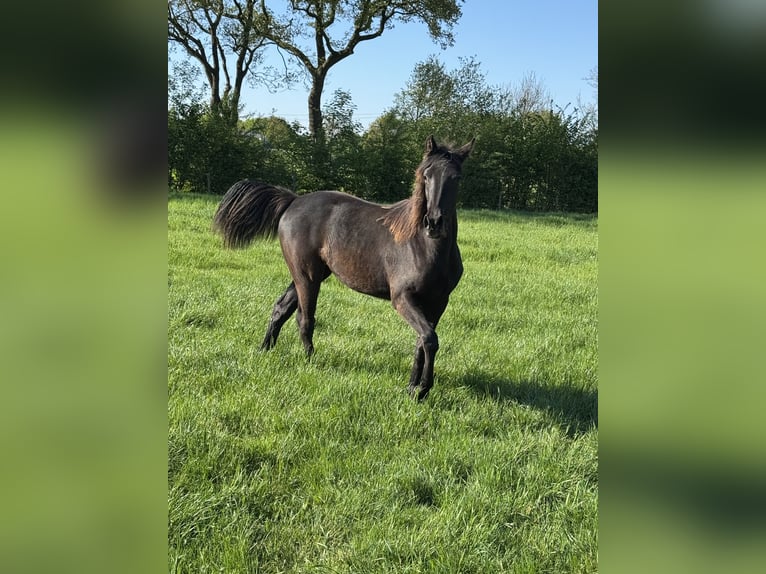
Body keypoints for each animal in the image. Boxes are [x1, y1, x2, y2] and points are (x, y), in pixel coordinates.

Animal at [212, 135, 474, 399]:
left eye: (456, 177)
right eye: (426, 175)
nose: (434, 223)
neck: (423, 247)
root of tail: (293, 200)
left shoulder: (438, 302)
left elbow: (422, 341)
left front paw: (413, 386)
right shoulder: (402, 298)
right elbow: (429, 338)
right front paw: (422, 390)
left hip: (310, 274)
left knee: (281, 308)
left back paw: (265, 349)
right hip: (306, 276)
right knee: (304, 318)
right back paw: (310, 361)